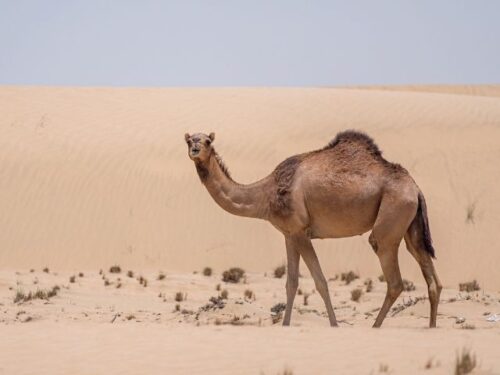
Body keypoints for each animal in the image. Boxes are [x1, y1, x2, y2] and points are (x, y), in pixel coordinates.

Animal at [187, 131, 442, 328]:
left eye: (207, 141)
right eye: (189, 140)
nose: (195, 149)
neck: (265, 194)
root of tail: (415, 188)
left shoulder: (300, 232)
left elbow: (320, 281)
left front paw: (334, 325)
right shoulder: (288, 234)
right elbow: (291, 283)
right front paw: (286, 325)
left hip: (391, 217)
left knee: (393, 278)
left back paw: (375, 327)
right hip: (411, 225)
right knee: (430, 274)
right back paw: (431, 327)